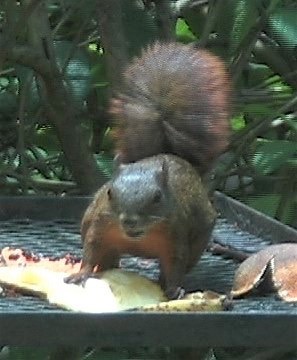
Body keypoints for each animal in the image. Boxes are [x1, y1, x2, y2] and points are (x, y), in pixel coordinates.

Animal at [65, 41, 231, 298]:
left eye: (157, 197)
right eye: (109, 193)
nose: (129, 221)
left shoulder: (176, 235)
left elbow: (175, 265)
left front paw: (173, 290)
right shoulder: (98, 226)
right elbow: (91, 252)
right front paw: (81, 274)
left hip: (199, 237)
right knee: (108, 258)